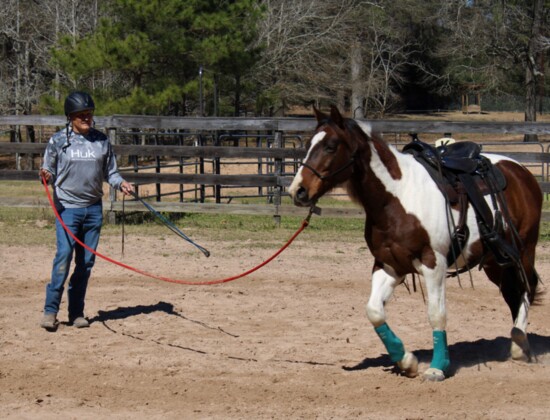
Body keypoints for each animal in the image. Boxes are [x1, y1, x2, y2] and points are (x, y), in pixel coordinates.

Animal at [292, 105, 544, 380]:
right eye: (308, 144)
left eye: (330, 146)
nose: (298, 190)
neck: (397, 197)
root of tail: (520, 170)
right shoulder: (389, 265)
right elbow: (374, 311)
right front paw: (406, 361)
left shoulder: (434, 264)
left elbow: (436, 314)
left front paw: (437, 367)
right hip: (495, 261)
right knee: (512, 292)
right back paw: (517, 343)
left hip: (523, 251)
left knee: (527, 287)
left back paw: (519, 345)